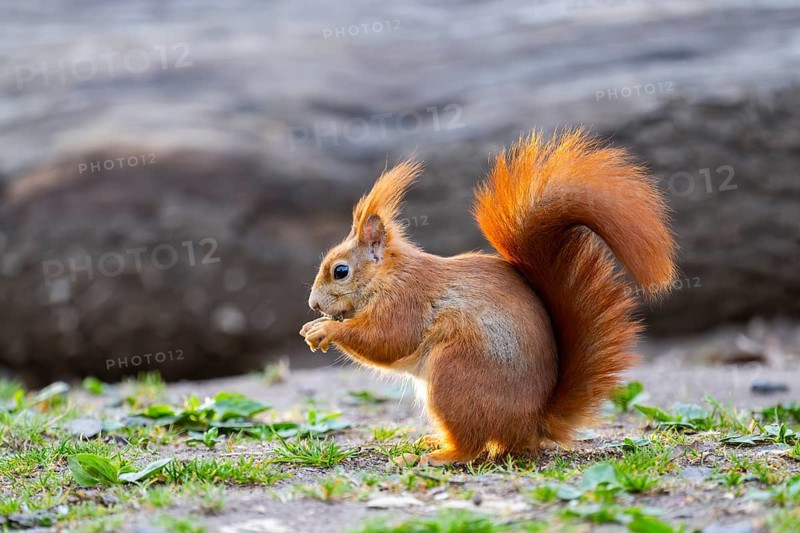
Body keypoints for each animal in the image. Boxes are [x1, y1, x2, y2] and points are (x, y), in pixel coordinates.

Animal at [300, 129, 676, 466]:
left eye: (341, 271)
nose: (314, 304)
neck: (388, 275)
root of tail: (532, 424)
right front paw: (312, 327)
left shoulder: (408, 299)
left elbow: (388, 340)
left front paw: (324, 330)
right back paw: (433, 441)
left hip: (455, 377)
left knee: (473, 446)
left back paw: (437, 456)